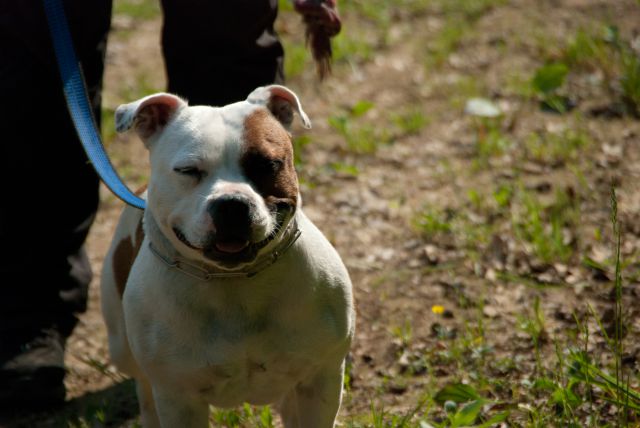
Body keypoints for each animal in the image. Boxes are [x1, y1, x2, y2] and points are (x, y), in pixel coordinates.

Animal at [102, 85, 358, 426]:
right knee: (142, 386)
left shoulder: (320, 379)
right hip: (122, 348)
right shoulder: (178, 398)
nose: (231, 205)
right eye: (188, 171)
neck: (232, 281)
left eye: (267, 165)